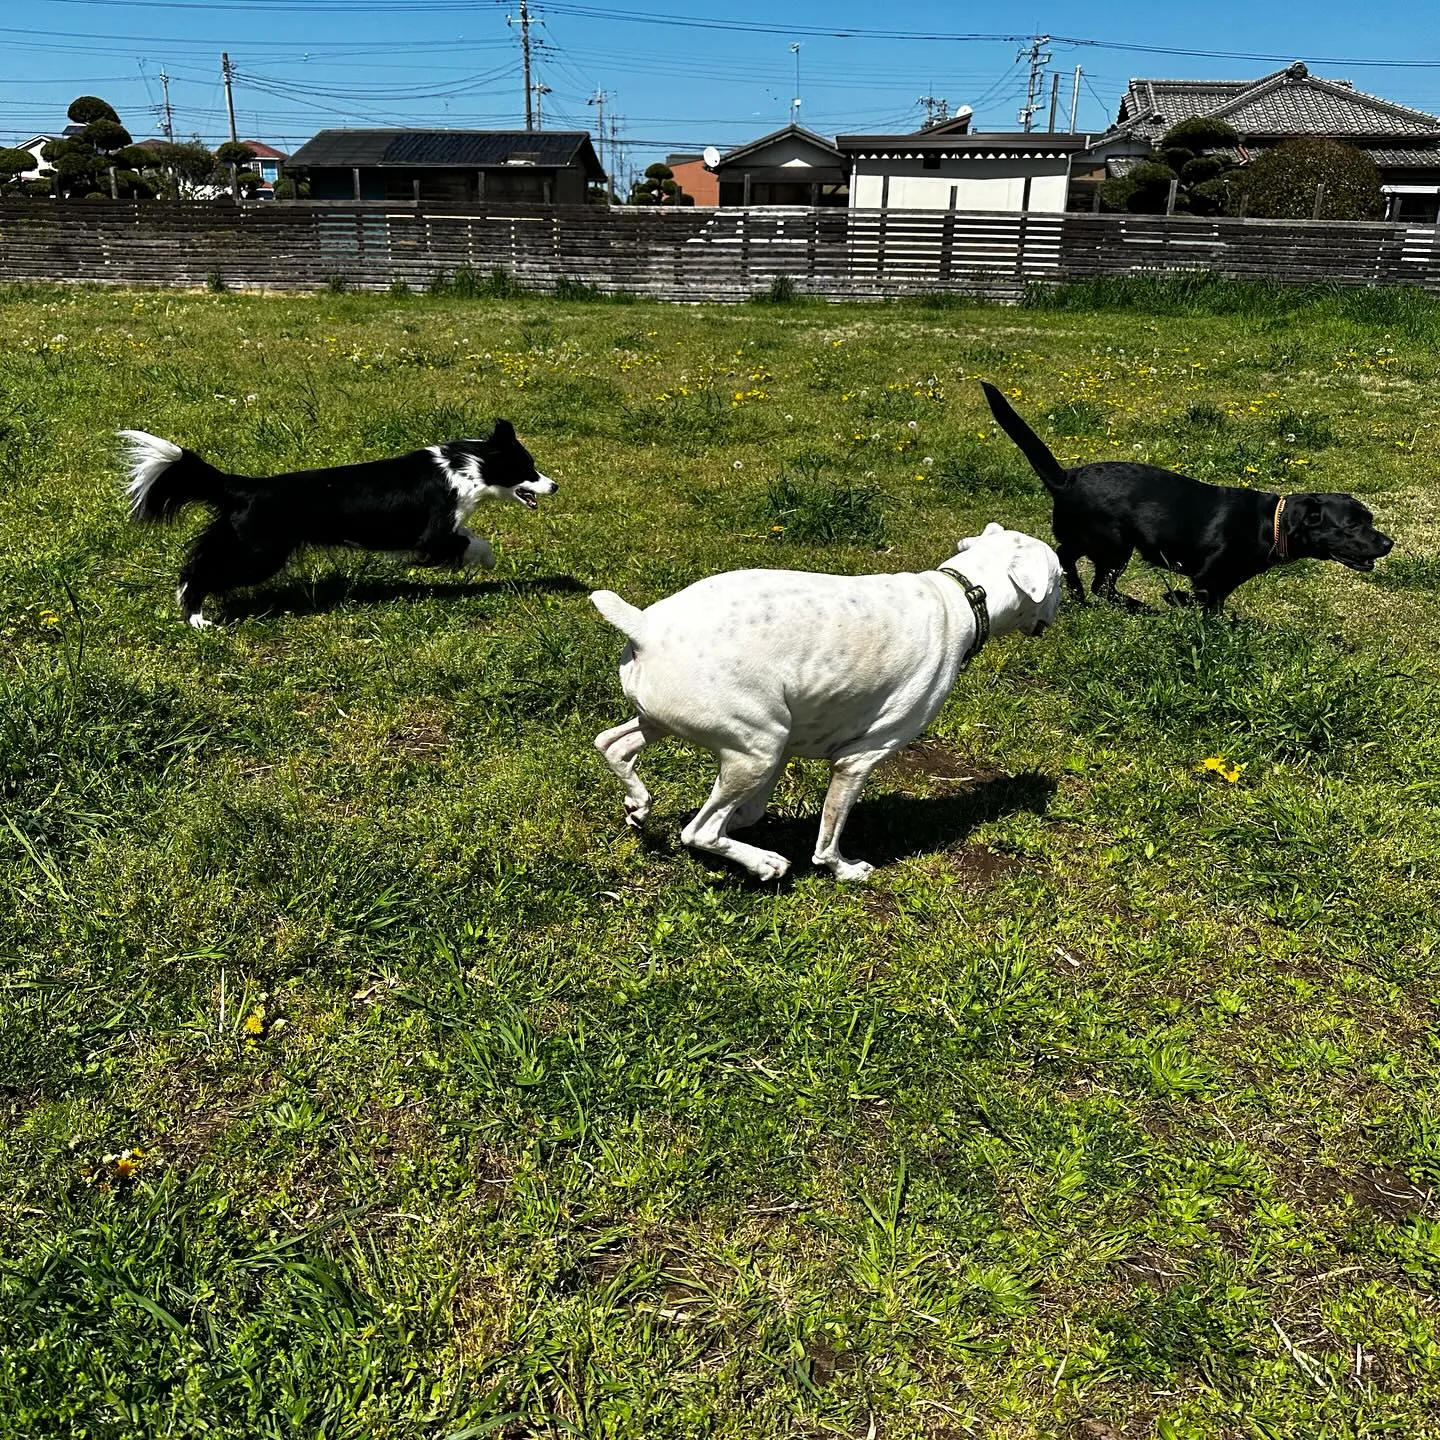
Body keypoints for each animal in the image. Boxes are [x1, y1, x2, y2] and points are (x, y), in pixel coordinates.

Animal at [120, 420, 555, 627]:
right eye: (527, 469)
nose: (555, 485)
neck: (468, 467)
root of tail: (247, 486)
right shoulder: (432, 534)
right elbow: (471, 543)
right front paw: (488, 561)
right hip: (258, 553)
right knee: (200, 570)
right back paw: (197, 618)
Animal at [590, 524, 1065, 881]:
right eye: (1061, 576)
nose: (1071, 601)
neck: (962, 597)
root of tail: (646, 627)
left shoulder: (786, 746)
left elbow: (751, 811)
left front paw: (746, 823)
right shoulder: (857, 760)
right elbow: (829, 832)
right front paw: (843, 868)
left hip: (673, 723)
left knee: (612, 744)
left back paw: (639, 803)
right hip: (756, 749)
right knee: (700, 831)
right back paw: (764, 863)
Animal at [984, 383, 1388, 607]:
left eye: (1369, 520)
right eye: (1351, 525)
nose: (1389, 543)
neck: (1270, 525)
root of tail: (1066, 477)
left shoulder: (1222, 585)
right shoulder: (1208, 579)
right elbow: (1198, 604)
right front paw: (1177, 604)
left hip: (1094, 540)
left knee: (1068, 558)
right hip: (1116, 545)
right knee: (1102, 585)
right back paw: (1136, 606)